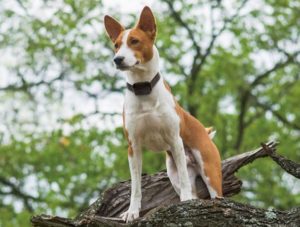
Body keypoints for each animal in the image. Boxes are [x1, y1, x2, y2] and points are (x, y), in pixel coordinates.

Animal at [104, 6, 221, 223]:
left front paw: (184, 204)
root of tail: (204, 130)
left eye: (134, 41)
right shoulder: (133, 147)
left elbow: (184, 183)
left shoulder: (175, 140)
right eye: (116, 45)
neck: (143, 89)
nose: (117, 59)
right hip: (172, 173)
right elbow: (135, 187)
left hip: (209, 171)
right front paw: (132, 211)